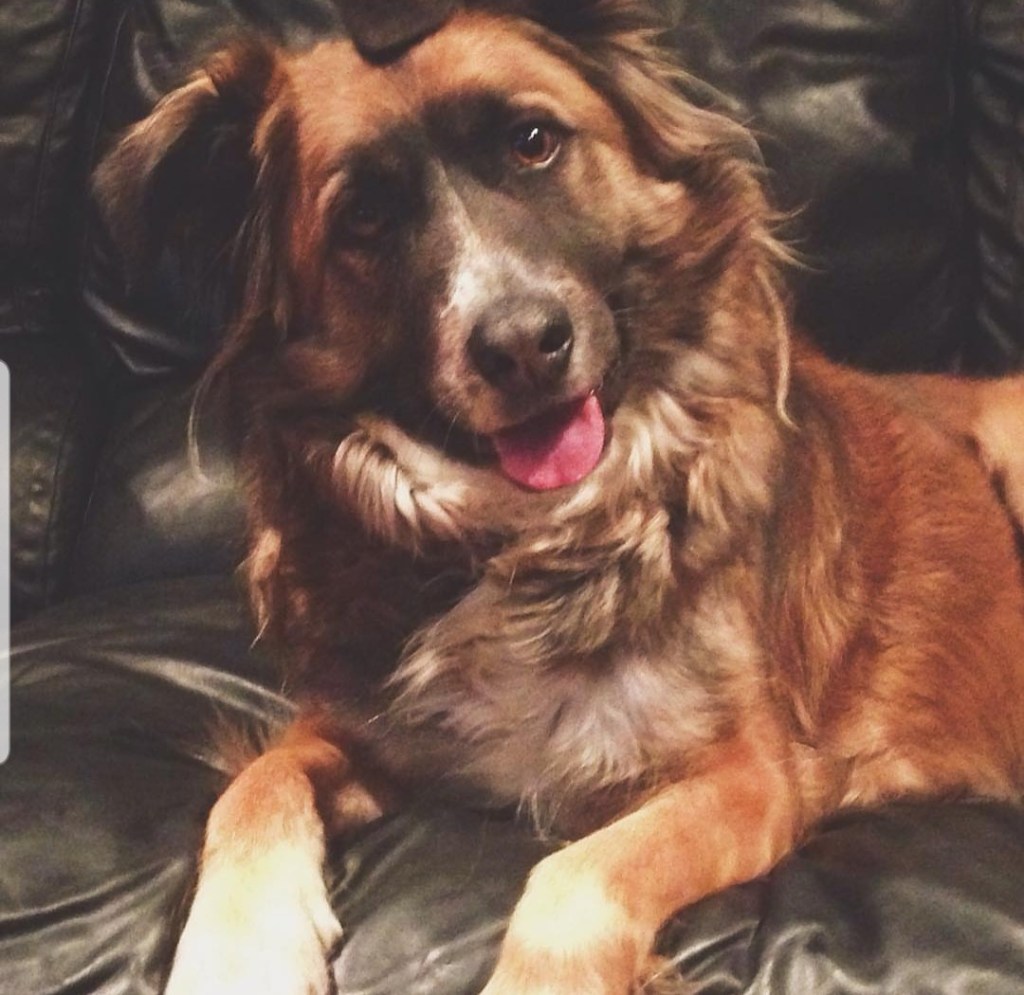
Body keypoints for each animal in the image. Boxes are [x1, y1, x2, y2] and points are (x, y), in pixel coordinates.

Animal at [93, 1, 1024, 993]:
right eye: (365, 217)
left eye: (533, 142)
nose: (522, 344)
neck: (528, 536)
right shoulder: (368, 732)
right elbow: (252, 787)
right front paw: (239, 953)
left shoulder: (747, 774)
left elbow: (573, 875)